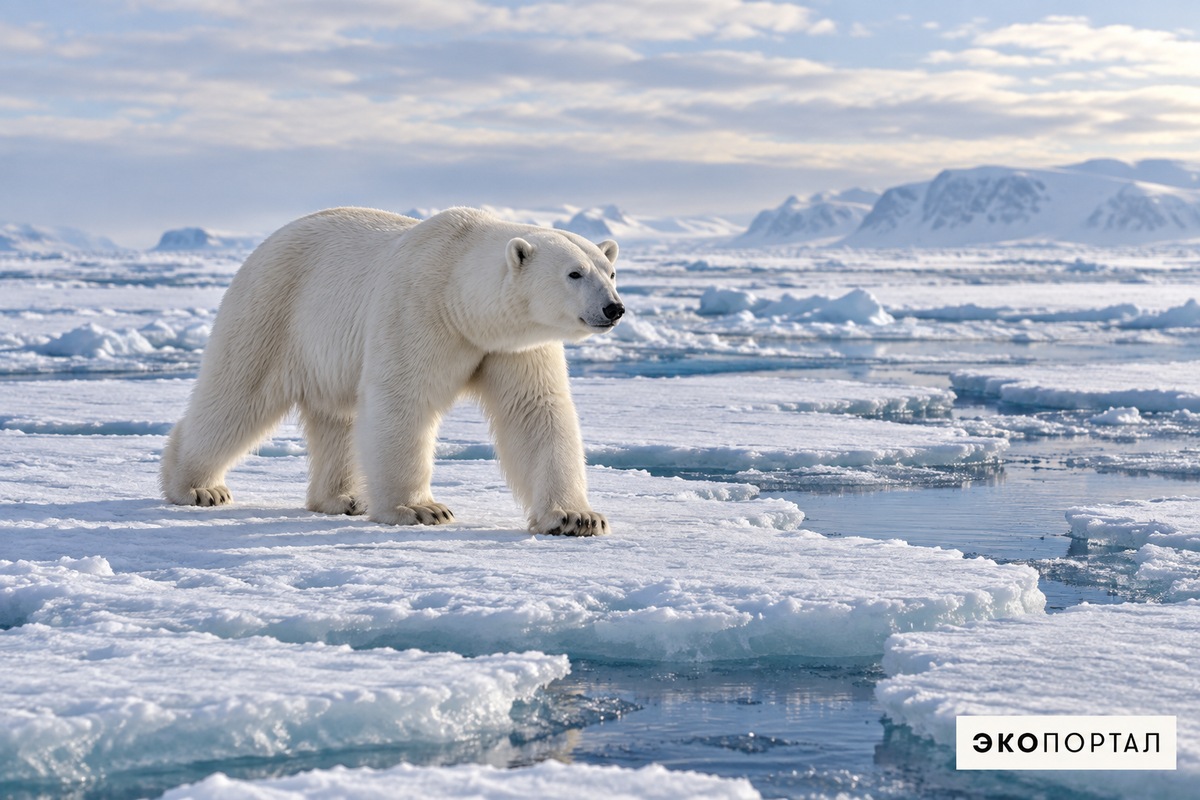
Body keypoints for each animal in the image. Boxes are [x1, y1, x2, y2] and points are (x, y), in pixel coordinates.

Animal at [160, 206, 624, 536]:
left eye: (611, 271)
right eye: (574, 273)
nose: (613, 308)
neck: (461, 296)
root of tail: (264, 244)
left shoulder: (512, 346)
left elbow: (536, 412)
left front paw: (577, 518)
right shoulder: (417, 310)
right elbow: (402, 400)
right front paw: (420, 508)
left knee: (337, 417)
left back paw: (345, 498)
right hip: (273, 309)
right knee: (237, 394)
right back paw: (198, 487)